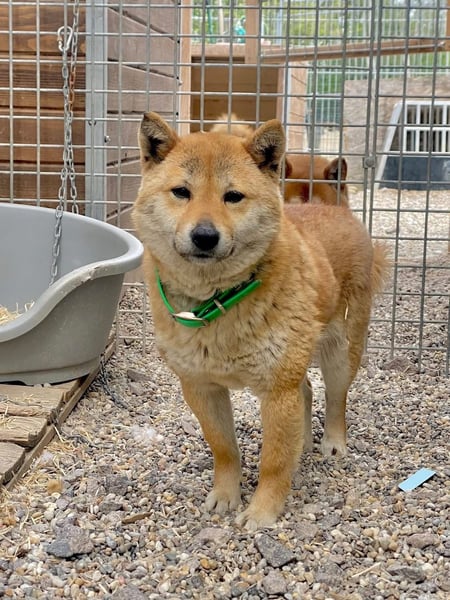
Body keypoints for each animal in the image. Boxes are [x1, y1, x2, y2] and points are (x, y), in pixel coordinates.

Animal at [133, 112, 388, 530]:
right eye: (181, 192)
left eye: (233, 196)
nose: (205, 236)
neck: (217, 301)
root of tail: (336, 210)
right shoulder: (201, 387)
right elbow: (224, 449)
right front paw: (225, 495)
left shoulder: (277, 390)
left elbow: (273, 461)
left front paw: (263, 512)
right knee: (308, 392)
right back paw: (304, 441)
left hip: (340, 352)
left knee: (336, 399)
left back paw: (333, 442)